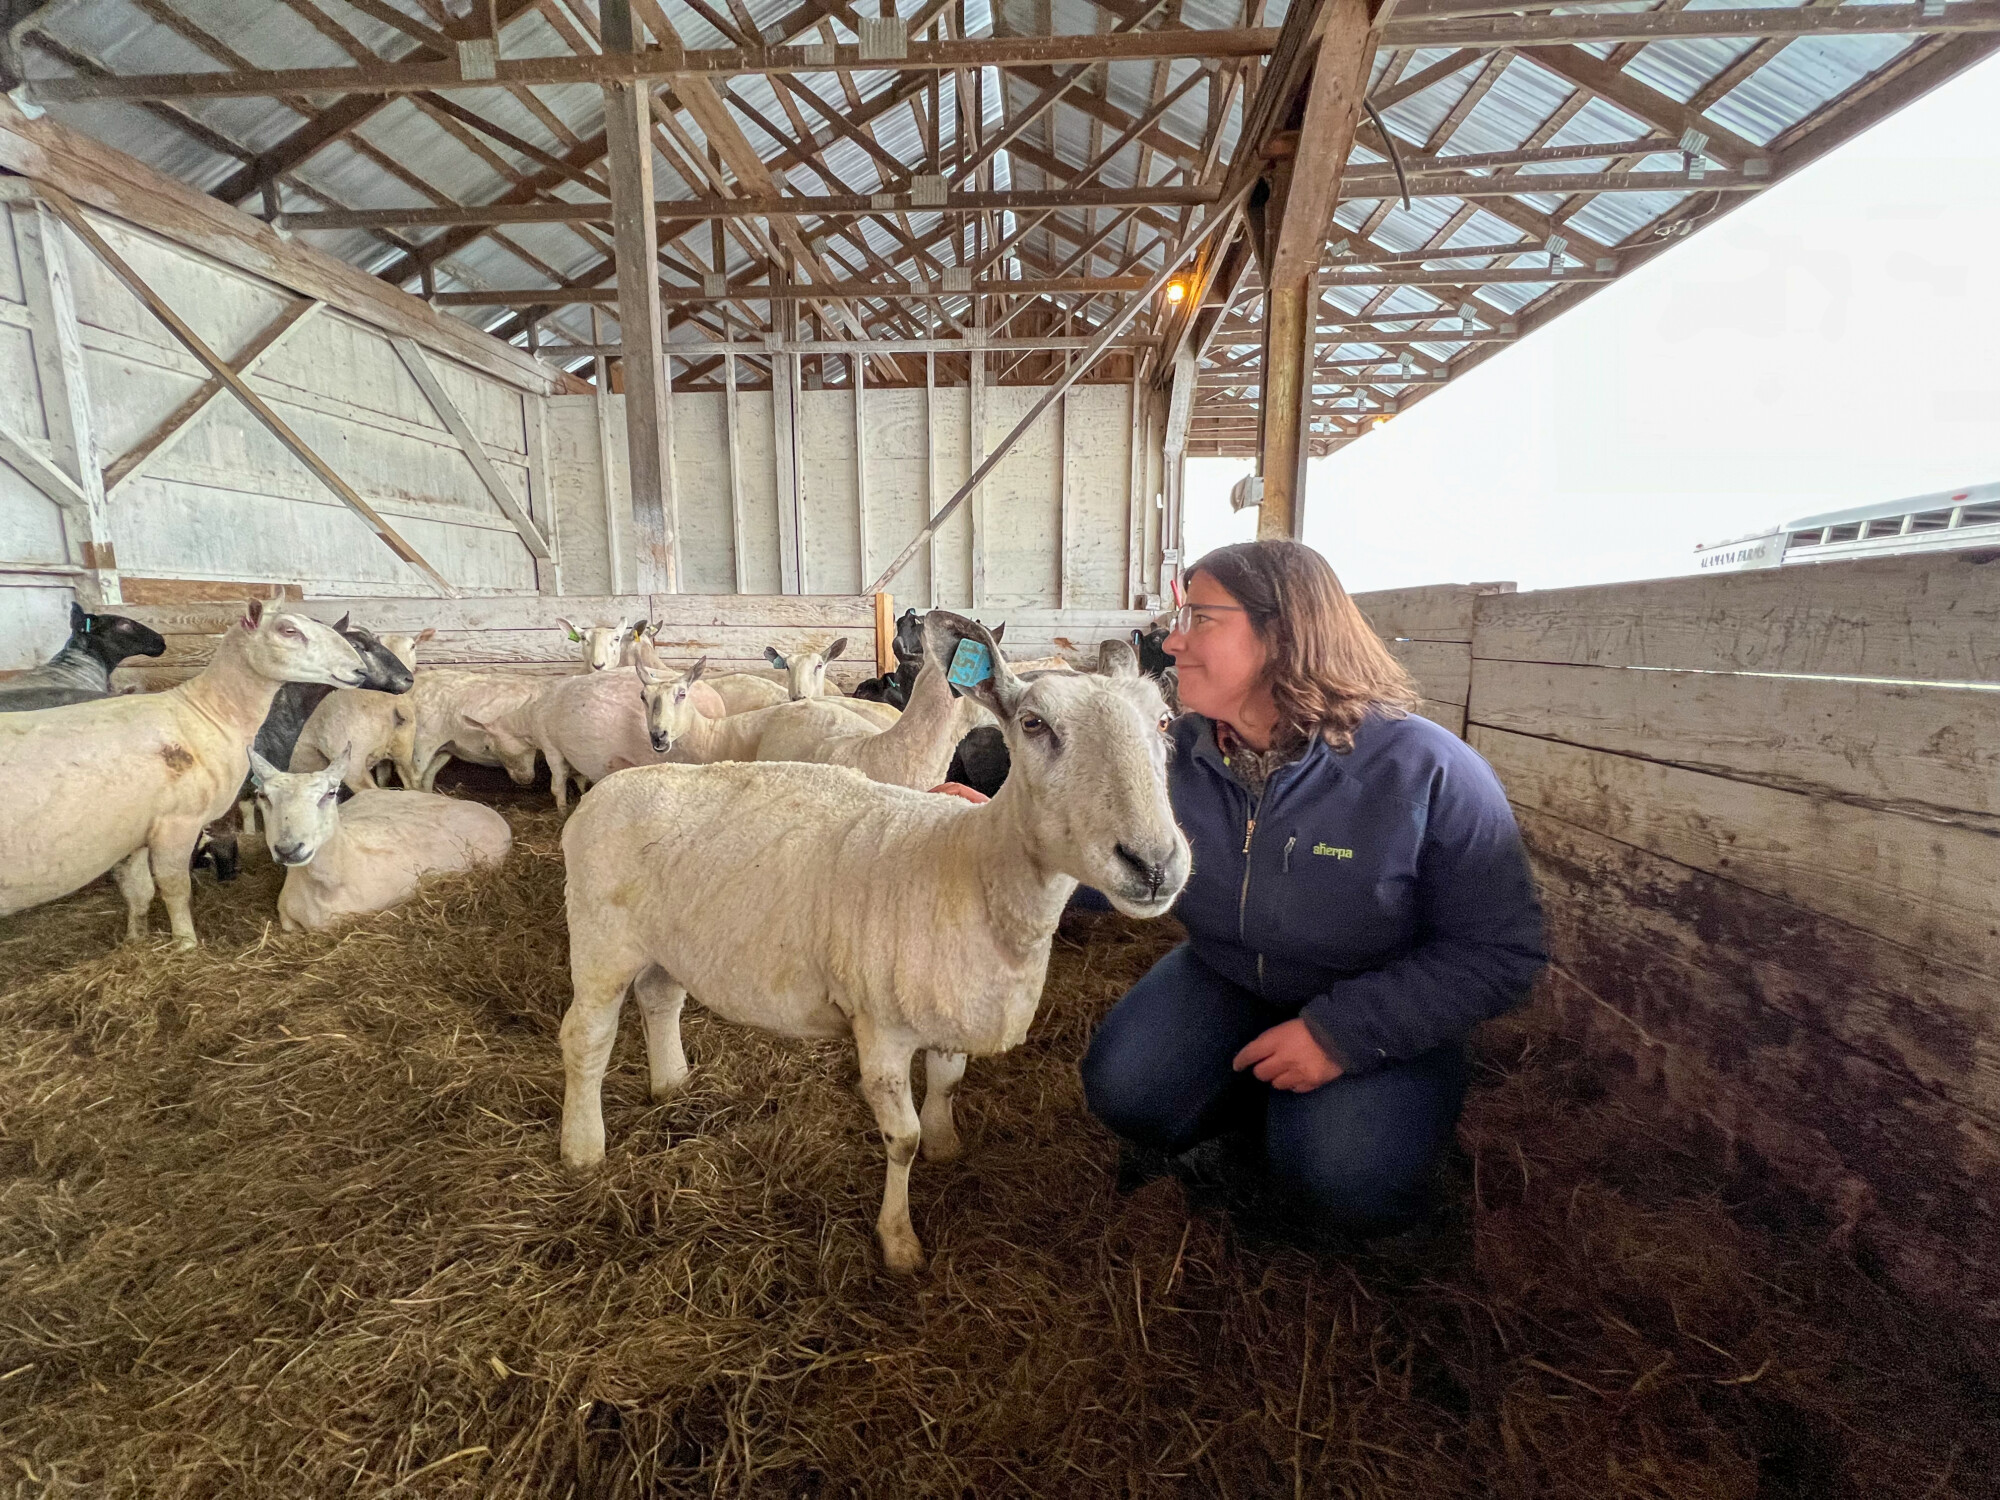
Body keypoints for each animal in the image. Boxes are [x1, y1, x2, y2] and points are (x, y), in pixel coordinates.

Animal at [0, 604, 368, 944]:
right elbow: (175, 887)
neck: (208, 712)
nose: (359, 669)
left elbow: (138, 892)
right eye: (288, 631)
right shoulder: (176, 823)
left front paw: (135, 941)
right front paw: (186, 944)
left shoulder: (135, 833)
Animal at [556, 616, 1184, 1272]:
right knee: (585, 1037)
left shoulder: (947, 1009)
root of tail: (606, 789)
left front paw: (946, 1145)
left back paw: (671, 1082)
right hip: (600, 942)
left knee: (660, 998)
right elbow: (901, 1139)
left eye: (1165, 722)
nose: (1153, 865)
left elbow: (947, 1084)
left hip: (665, 941)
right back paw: (583, 1147)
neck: (972, 868)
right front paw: (899, 1239)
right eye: (1033, 723)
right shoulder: (880, 1029)